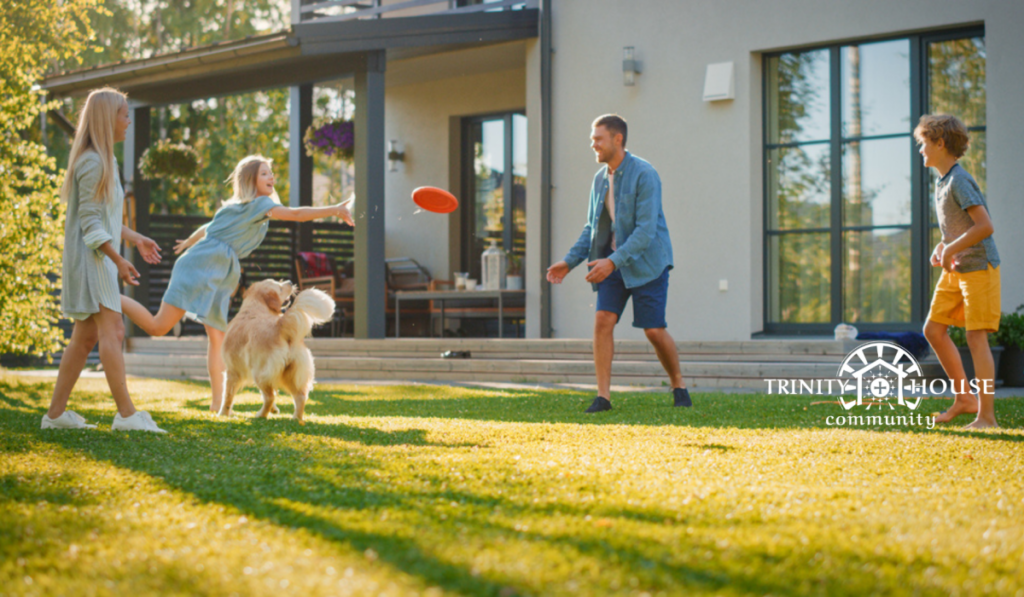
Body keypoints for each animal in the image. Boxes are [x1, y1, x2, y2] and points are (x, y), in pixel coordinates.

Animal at [220, 280, 335, 425]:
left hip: (259, 373)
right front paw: (274, 410)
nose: (290, 281)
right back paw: (297, 418)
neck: (255, 307)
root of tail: (280, 325)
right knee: (300, 396)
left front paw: (223, 414)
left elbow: (227, 396)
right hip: (291, 374)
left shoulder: (232, 371)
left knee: (270, 397)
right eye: (279, 286)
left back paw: (260, 415)